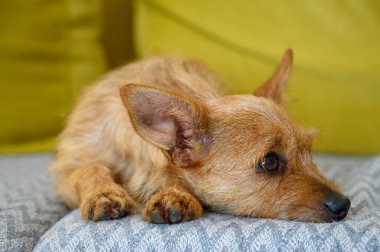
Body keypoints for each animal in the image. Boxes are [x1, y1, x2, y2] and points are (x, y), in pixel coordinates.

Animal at [50, 50, 350, 223]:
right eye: (270, 162)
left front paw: (174, 194)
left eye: (309, 151)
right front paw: (103, 193)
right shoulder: (71, 168)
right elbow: (88, 170)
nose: (344, 205)